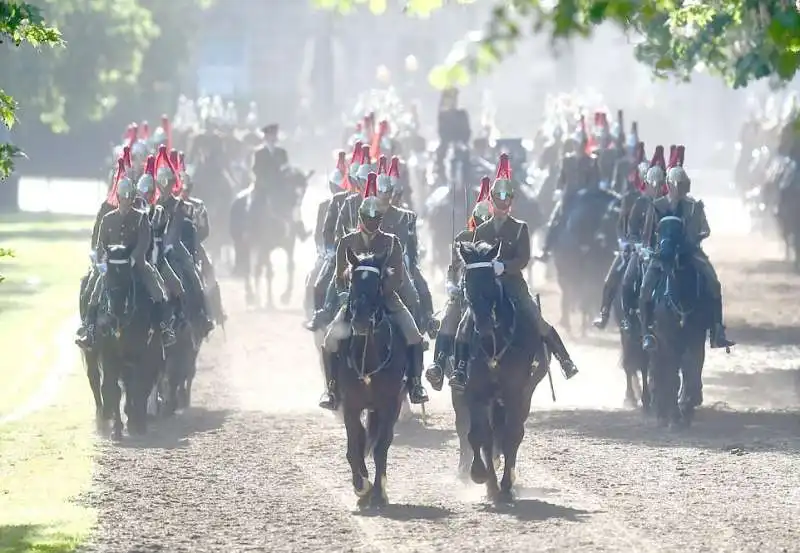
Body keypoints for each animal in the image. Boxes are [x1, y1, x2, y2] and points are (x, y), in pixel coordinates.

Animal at [96, 246, 166, 440]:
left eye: (127, 274)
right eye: (108, 273)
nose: (117, 307)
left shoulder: (143, 356)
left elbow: (139, 387)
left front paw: (138, 425)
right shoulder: (109, 356)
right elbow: (113, 390)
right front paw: (117, 429)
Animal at [336, 250, 406, 508]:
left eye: (378, 285)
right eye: (353, 282)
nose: (361, 321)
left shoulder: (390, 405)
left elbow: (380, 448)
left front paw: (377, 492)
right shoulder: (350, 405)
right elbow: (354, 446)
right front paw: (361, 486)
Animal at [456, 242, 552, 500]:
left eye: (491, 281)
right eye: (467, 282)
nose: (484, 329)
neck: (495, 342)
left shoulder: (516, 394)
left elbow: (511, 436)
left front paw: (506, 485)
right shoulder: (475, 393)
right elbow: (479, 435)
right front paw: (483, 477)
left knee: (514, 433)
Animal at [648, 216, 712, 426]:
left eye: (679, 231)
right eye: (659, 230)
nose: (665, 255)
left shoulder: (696, 336)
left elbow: (692, 366)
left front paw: (687, 404)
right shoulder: (666, 338)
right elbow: (671, 373)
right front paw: (674, 415)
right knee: (660, 367)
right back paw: (661, 408)